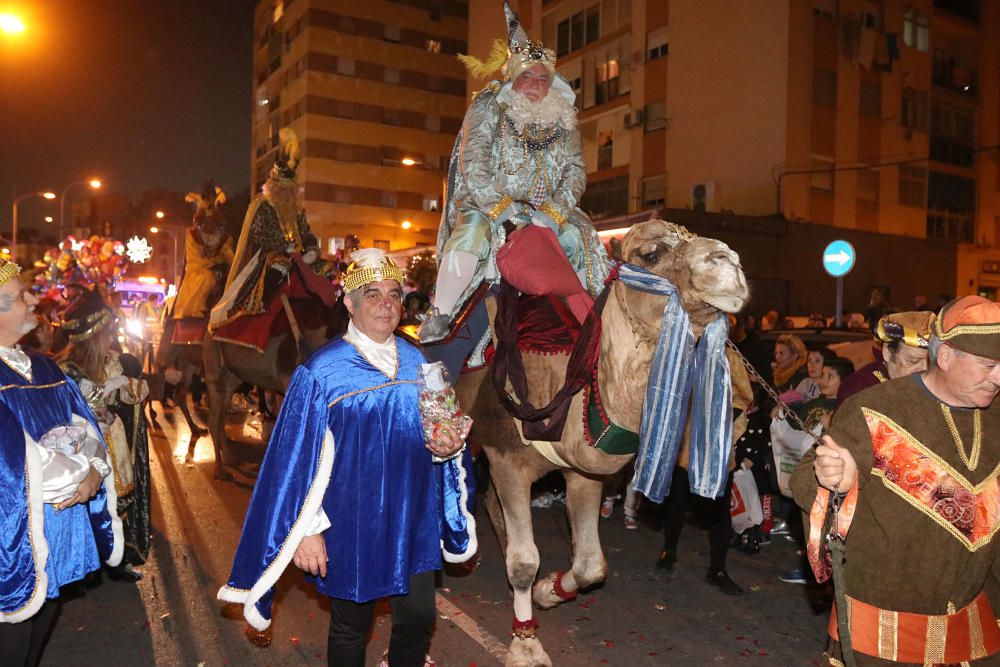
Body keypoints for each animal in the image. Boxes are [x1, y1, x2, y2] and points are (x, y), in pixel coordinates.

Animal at [458, 220, 748, 667]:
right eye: (652, 253)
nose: (728, 263)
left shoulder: (582, 473)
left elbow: (592, 565)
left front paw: (547, 591)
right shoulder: (507, 459)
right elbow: (524, 562)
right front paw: (526, 646)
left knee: (491, 503)